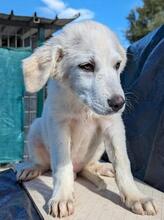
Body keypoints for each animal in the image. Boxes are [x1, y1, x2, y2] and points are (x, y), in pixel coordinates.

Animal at [17, 21, 157, 217]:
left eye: (117, 65)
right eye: (86, 66)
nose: (119, 103)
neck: (83, 107)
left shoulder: (113, 126)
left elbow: (123, 163)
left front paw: (135, 197)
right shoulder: (59, 127)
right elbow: (62, 166)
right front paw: (62, 197)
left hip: (99, 145)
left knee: (89, 166)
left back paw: (102, 167)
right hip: (36, 129)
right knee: (45, 164)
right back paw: (32, 168)